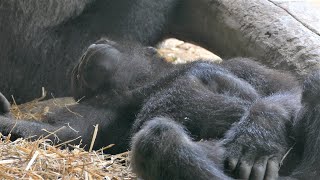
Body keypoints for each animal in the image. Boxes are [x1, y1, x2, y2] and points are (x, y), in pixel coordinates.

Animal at [0, 38, 318, 179]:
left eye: (106, 40)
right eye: (76, 75)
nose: (89, 49)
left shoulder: (242, 65)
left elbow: (286, 90)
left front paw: (259, 135)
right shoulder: (101, 110)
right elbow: (62, 134)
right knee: (159, 138)